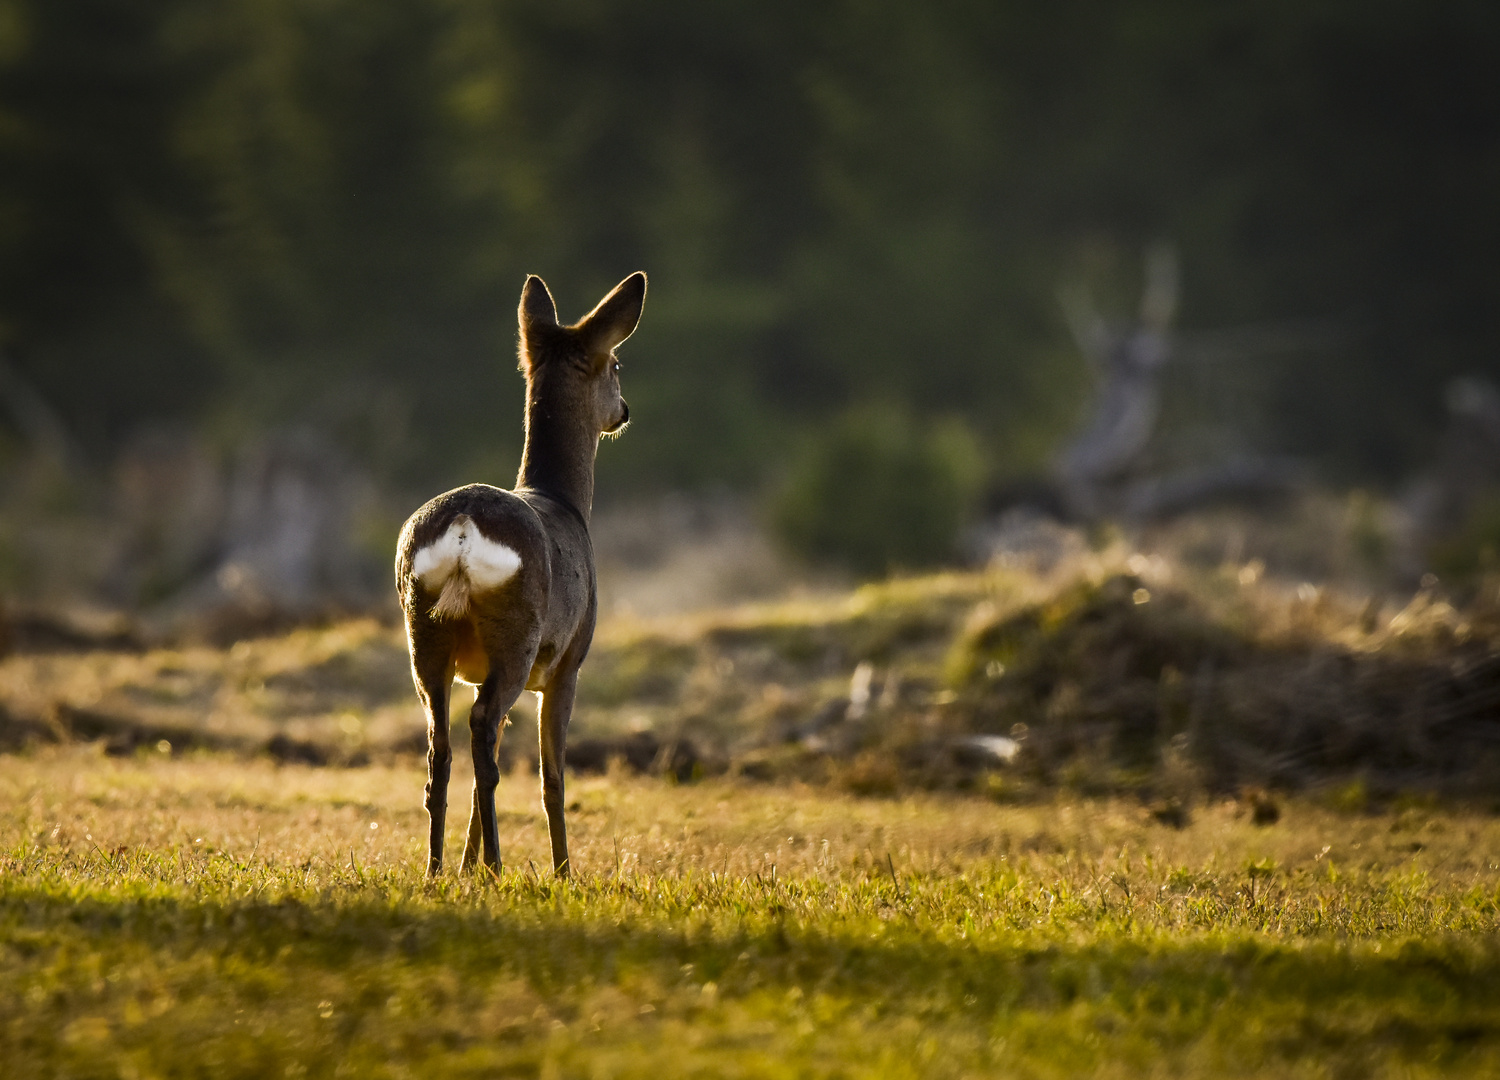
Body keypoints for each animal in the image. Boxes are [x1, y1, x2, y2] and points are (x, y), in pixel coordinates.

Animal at [393, 270, 645, 876]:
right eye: (617, 363)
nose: (625, 410)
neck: (566, 501)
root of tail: (462, 526)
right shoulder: (569, 661)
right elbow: (554, 777)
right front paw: (564, 871)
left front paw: (468, 865)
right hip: (519, 635)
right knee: (483, 728)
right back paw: (500, 865)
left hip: (423, 631)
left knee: (443, 744)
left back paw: (437, 869)